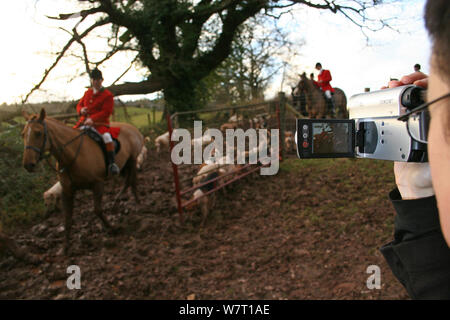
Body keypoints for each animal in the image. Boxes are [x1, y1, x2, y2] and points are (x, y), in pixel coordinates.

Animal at [22, 109, 143, 254]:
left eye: (38, 133)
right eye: (23, 134)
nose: (28, 165)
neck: (71, 156)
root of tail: (132, 128)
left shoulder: (98, 184)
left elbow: (97, 210)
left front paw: (112, 228)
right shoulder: (67, 191)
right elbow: (67, 219)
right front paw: (65, 247)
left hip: (133, 159)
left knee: (133, 181)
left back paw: (137, 203)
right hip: (125, 164)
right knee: (128, 181)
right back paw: (117, 200)